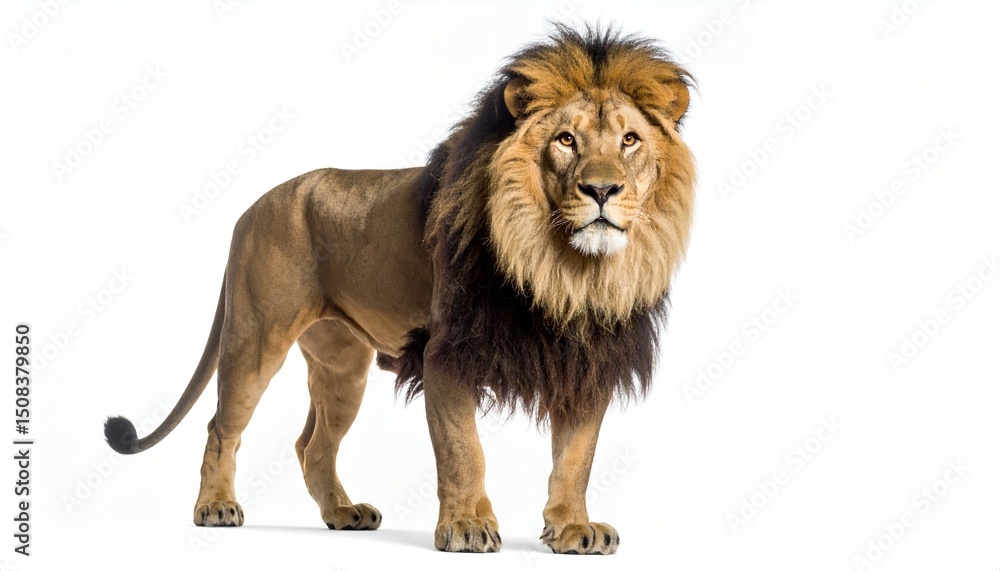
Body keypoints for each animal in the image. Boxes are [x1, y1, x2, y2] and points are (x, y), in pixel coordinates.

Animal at [104, 25, 695, 555]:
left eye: (629, 140)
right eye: (566, 140)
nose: (602, 189)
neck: (565, 270)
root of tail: (251, 207)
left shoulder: (587, 362)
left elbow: (575, 458)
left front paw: (573, 528)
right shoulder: (445, 353)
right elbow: (463, 449)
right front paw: (467, 526)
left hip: (343, 366)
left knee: (312, 446)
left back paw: (343, 513)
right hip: (254, 339)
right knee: (221, 428)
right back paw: (215, 507)